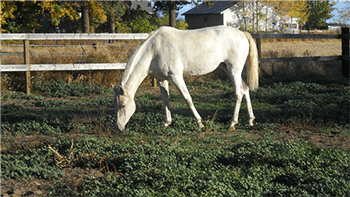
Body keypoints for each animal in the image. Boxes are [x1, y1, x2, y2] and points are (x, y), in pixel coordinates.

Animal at [110, 25, 258, 131]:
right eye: (115, 105)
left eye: (123, 105)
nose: (118, 127)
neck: (154, 49)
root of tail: (242, 33)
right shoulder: (162, 79)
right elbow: (165, 100)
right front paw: (167, 123)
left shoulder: (176, 76)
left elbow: (187, 98)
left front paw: (200, 123)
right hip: (227, 68)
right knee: (245, 89)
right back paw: (250, 120)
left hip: (234, 70)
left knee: (238, 93)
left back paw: (232, 124)